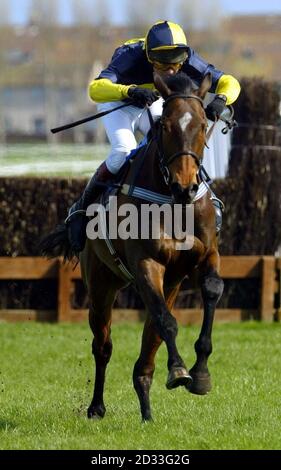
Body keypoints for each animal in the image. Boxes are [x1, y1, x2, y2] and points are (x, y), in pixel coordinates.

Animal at [40, 72, 223, 422]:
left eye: (203, 123)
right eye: (165, 125)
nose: (185, 186)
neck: (172, 202)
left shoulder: (204, 255)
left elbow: (210, 291)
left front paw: (201, 374)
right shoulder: (146, 263)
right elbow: (166, 321)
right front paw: (179, 370)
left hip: (169, 284)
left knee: (149, 342)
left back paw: (147, 409)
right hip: (101, 283)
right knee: (103, 346)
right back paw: (97, 407)